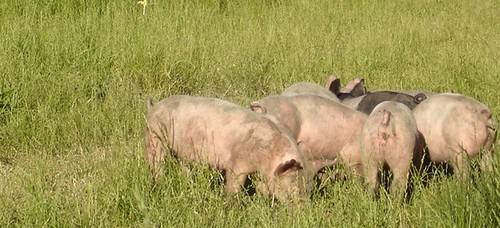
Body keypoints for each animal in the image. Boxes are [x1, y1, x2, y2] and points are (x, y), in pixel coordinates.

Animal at [144, 95, 308, 200]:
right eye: (292, 184)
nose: (302, 208)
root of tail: (155, 105)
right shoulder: (237, 164)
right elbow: (233, 186)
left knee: (185, 168)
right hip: (154, 135)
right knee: (157, 162)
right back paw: (158, 184)